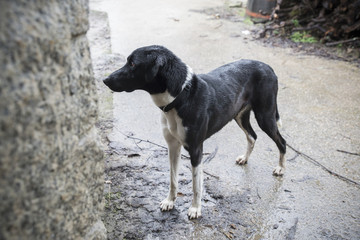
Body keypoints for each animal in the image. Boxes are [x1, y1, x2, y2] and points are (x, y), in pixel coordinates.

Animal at [104, 45, 286, 219]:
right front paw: (170, 201)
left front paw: (195, 209)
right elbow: (172, 179)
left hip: (265, 116)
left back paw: (280, 168)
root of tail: (268, 67)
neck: (180, 97)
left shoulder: (196, 150)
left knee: (281, 142)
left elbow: (196, 185)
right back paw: (245, 158)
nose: (105, 80)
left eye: (132, 64)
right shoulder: (172, 147)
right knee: (252, 136)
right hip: (239, 115)